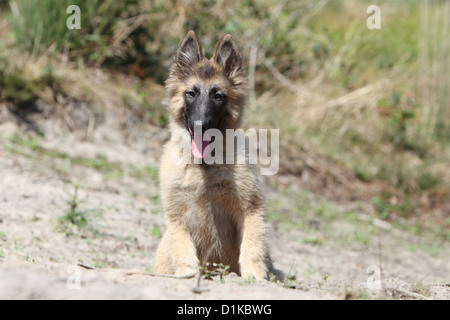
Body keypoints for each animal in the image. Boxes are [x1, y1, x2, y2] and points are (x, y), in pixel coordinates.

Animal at [155, 30, 282, 280]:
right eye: (191, 93)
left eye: (218, 96)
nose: (201, 125)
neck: (204, 166)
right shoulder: (177, 217)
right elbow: (183, 248)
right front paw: (188, 273)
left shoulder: (250, 209)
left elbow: (252, 246)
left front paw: (254, 276)